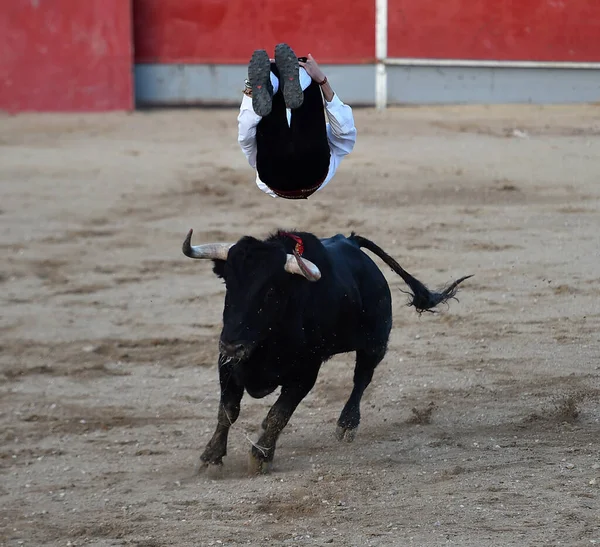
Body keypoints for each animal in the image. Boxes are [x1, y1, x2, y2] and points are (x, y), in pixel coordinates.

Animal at [180, 229, 472, 474]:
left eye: (270, 292)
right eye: (228, 285)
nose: (232, 345)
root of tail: (352, 241)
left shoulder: (305, 374)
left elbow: (278, 414)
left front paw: (261, 456)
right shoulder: (228, 365)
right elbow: (227, 411)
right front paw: (211, 457)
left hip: (374, 344)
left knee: (361, 379)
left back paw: (347, 424)